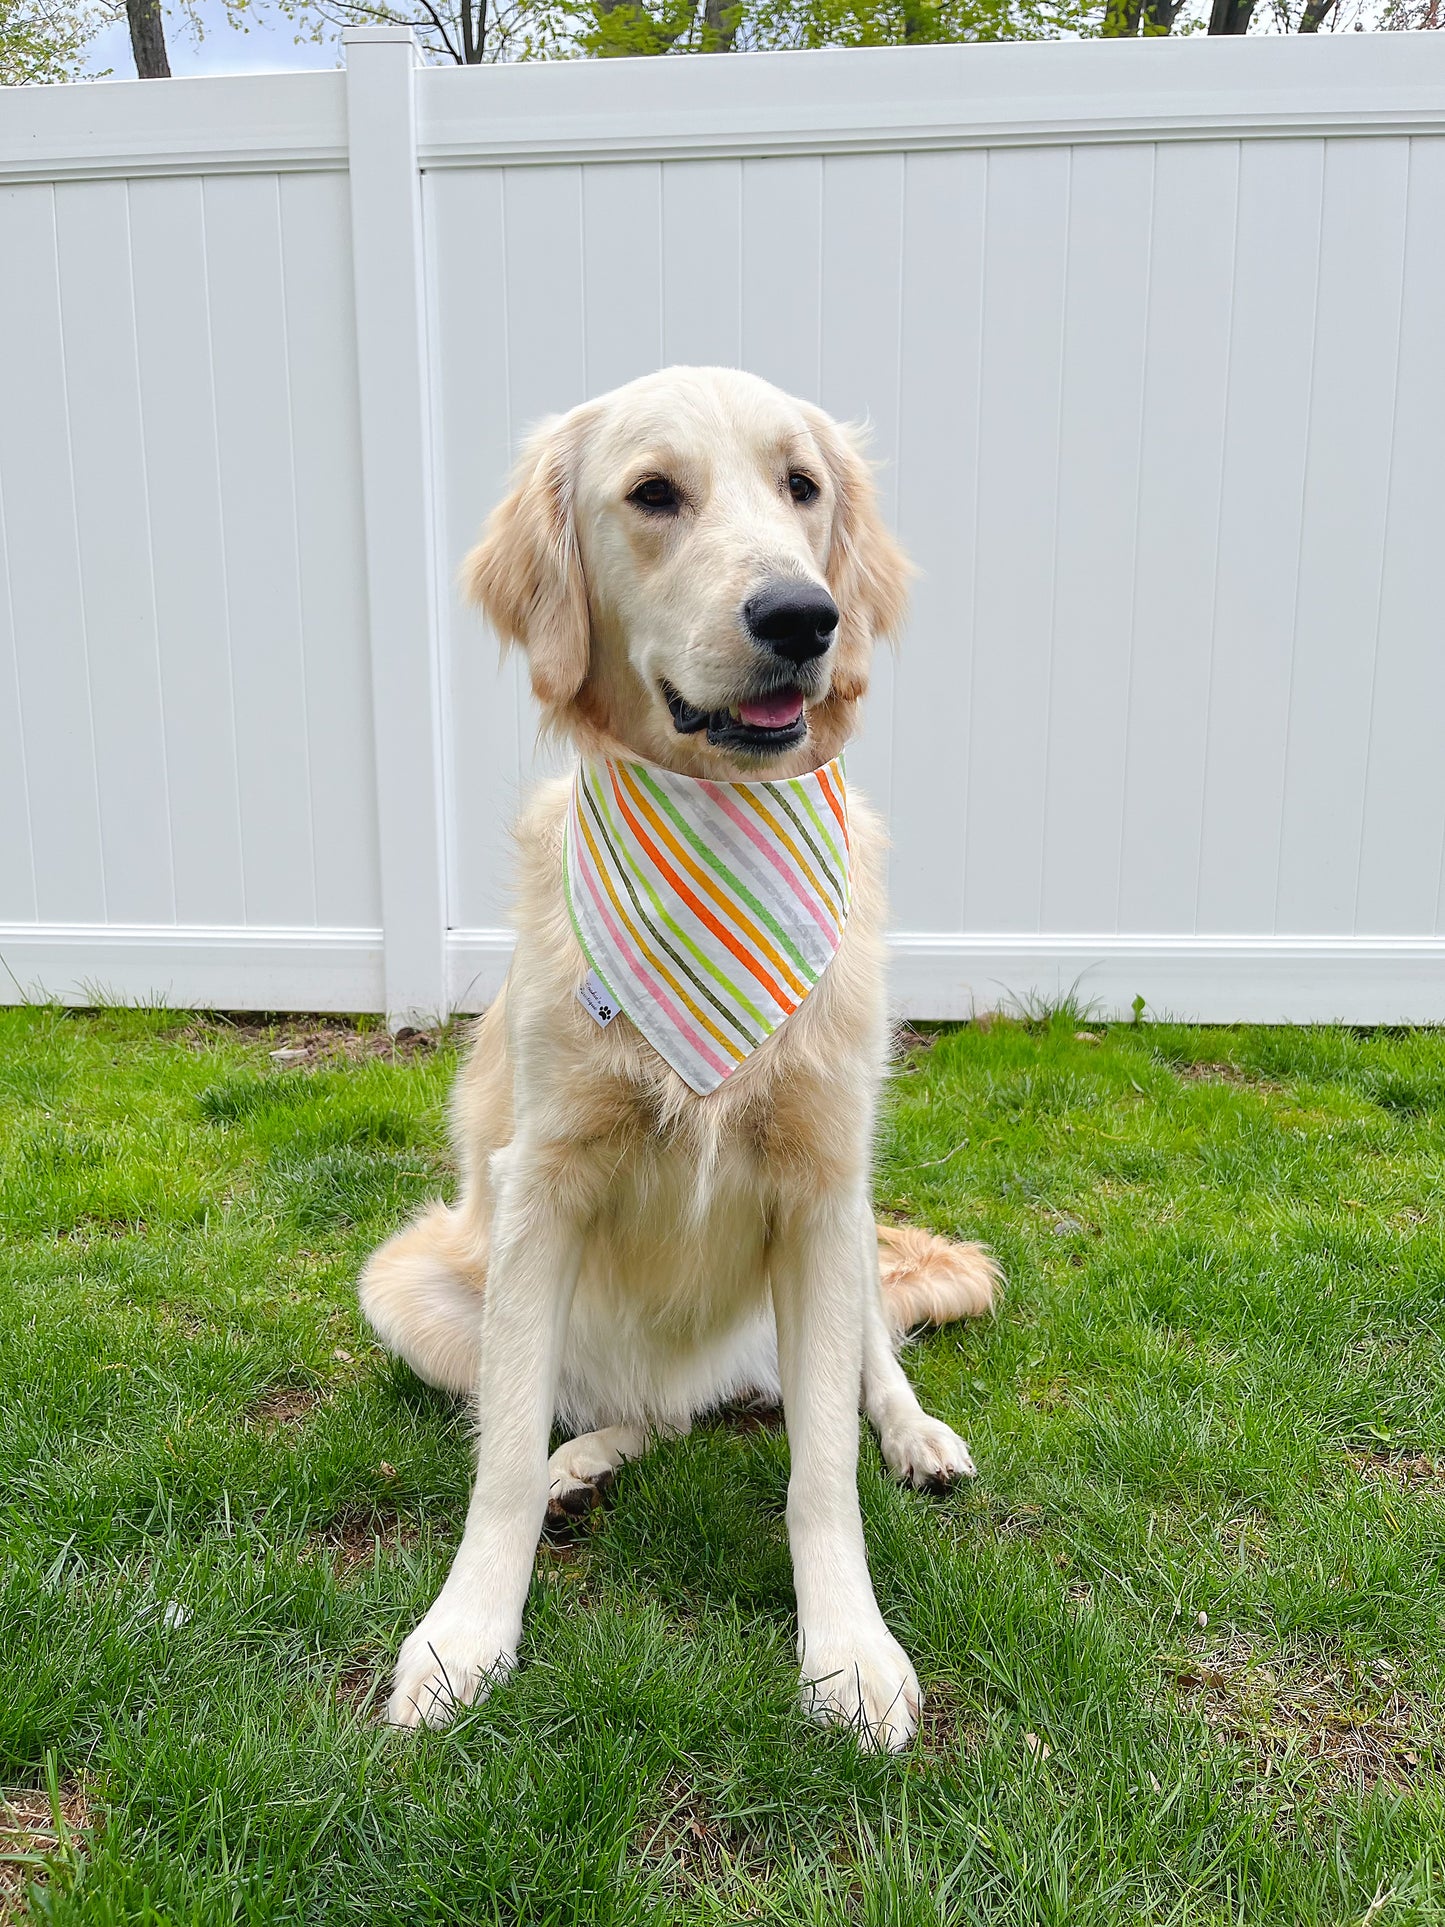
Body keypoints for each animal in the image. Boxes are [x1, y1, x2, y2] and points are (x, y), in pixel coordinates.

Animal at [360, 368, 994, 1757]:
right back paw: (579, 1467)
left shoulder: (820, 1185)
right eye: (653, 494)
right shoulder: (539, 1184)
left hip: (847, 1243)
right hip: (417, 1286)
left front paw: (848, 1650)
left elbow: (821, 1472)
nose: (802, 615)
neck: (719, 815)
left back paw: (916, 1435)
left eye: (800, 486)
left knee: (868, 1365)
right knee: (609, 1413)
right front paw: (466, 1633)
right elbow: (494, 1467)